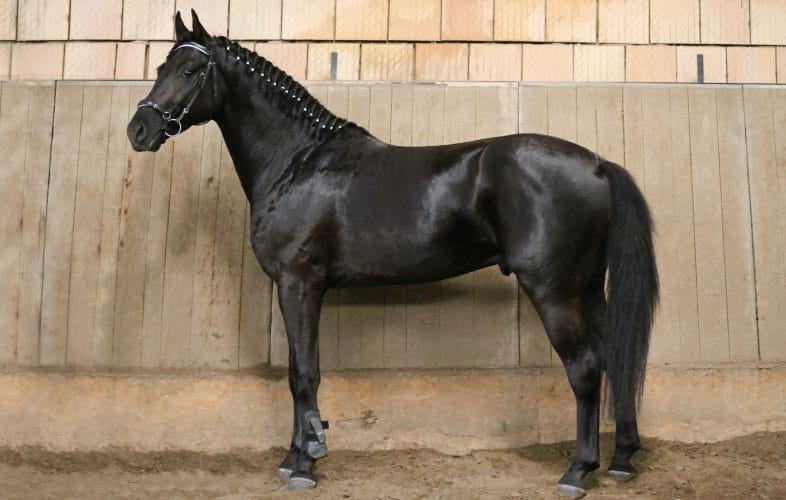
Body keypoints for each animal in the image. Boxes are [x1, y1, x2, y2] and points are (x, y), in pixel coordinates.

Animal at [127, 11, 658, 498]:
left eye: (190, 70)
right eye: (160, 66)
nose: (139, 129)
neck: (298, 164)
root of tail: (596, 164)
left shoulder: (300, 284)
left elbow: (303, 374)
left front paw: (305, 464)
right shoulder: (301, 287)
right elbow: (301, 372)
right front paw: (295, 457)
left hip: (554, 291)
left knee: (584, 365)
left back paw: (578, 471)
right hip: (587, 289)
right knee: (614, 357)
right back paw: (622, 460)